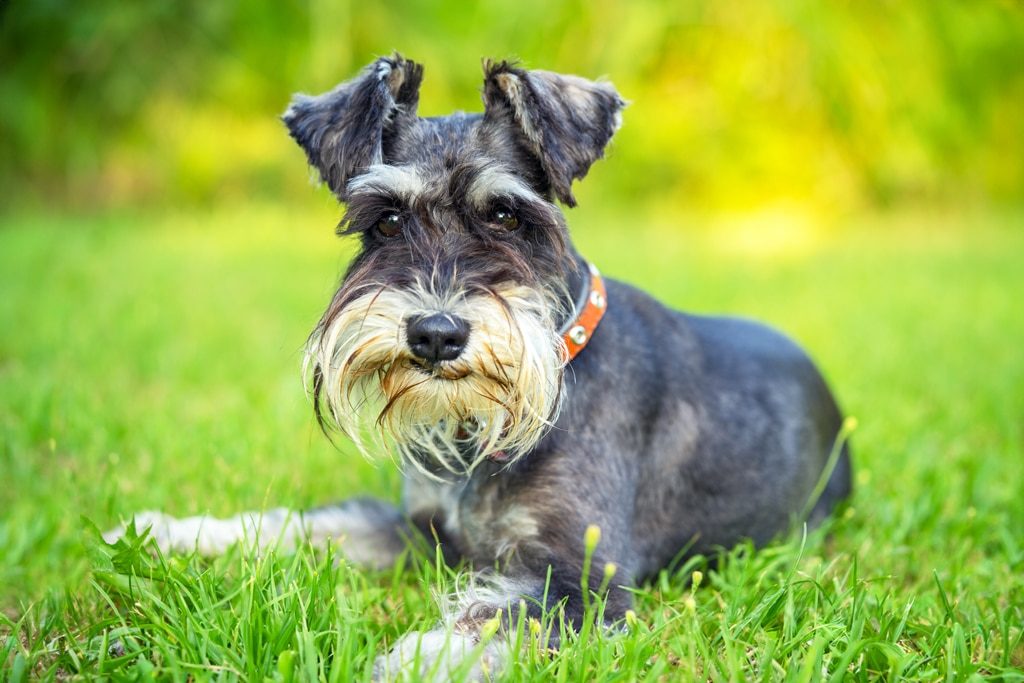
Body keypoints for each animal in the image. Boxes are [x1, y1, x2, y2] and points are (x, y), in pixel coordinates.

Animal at [108, 54, 851, 679]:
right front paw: (168, 532)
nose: (435, 335)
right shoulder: (421, 530)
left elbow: (489, 618)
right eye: (385, 220)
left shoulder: (585, 583)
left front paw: (408, 662)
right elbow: (306, 524)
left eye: (506, 215)